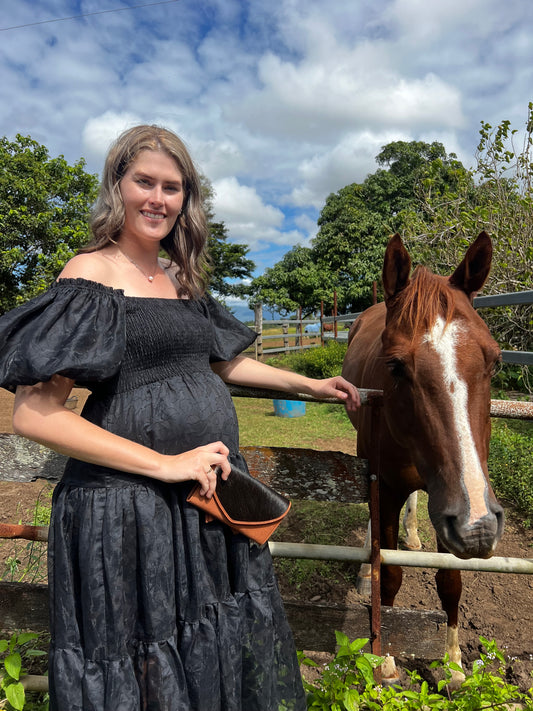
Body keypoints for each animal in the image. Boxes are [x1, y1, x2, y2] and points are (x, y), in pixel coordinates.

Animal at [340, 231, 502, 688]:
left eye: (495, 360)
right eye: (395, 365)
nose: (480, 527)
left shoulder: (453, 504)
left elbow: (450, 582)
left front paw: (454, 666)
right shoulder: (389, 486)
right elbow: (390, 574)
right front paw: (387, 661)